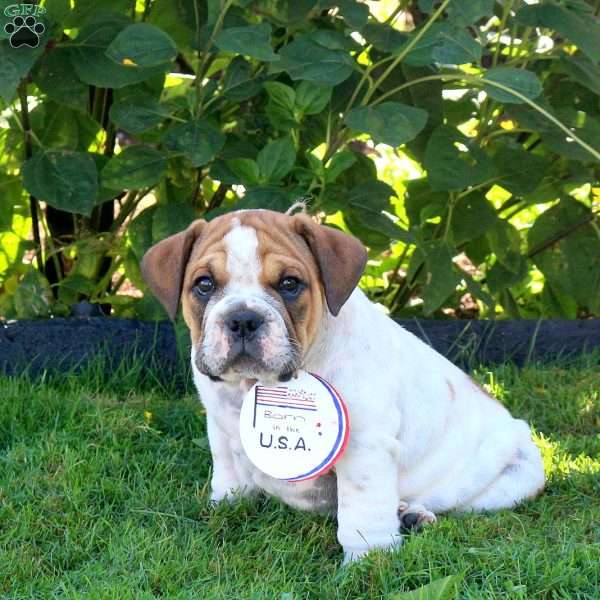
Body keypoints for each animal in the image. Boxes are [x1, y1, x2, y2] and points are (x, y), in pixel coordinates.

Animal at [143, 207, 548, 564]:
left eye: (290, 284)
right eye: (204, 285)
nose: (243, 319)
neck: (256, 383)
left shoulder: (364, 448)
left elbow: (362, 511)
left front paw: (368, 559)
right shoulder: (220, 426)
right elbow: (228, 472)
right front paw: (225, 507)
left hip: (516, 476)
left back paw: (414, 514)